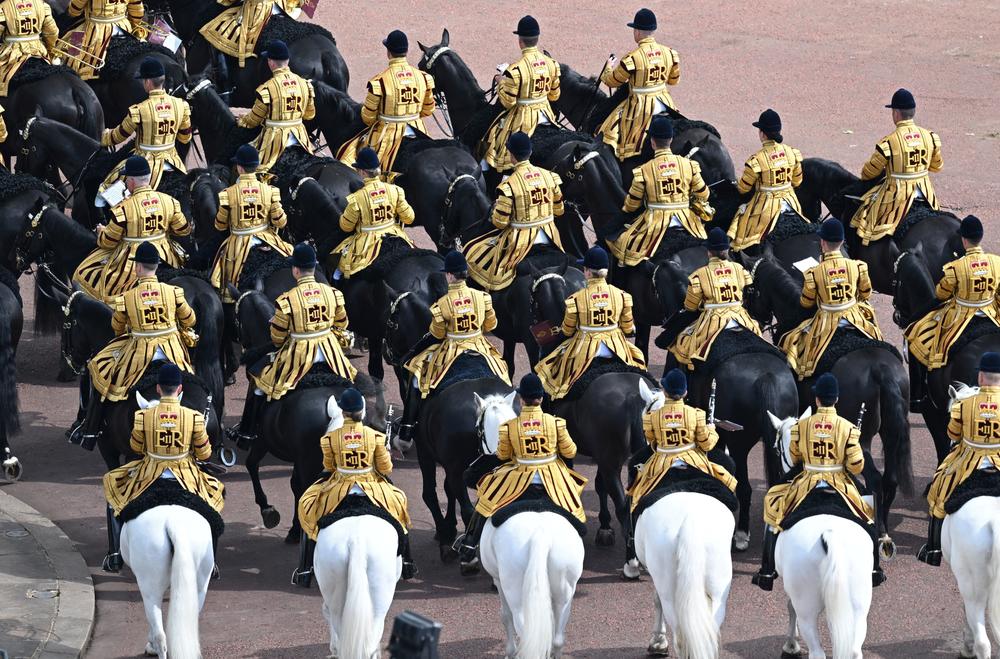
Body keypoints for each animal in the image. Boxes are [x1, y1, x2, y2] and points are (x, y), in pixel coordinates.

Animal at [476, 392, 584, 659]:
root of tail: (540, 536)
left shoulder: (498, 581)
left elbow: (504, 616)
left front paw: (509, 651)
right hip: (566, 590)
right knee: (557, 637)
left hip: (515, 587)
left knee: (522, 626)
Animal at [624, 378, 736, 656]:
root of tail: (690, 526)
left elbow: (655, 600)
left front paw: (657, 641)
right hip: (719, 588)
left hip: (670, 587)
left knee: (680, 630)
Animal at [768, 410, 872, 656]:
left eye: (776, 448)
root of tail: (829, 535)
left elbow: (789, 606)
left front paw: (791, 644)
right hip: (859, 607)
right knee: (854, 650)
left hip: (808, 609)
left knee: (817, 651)